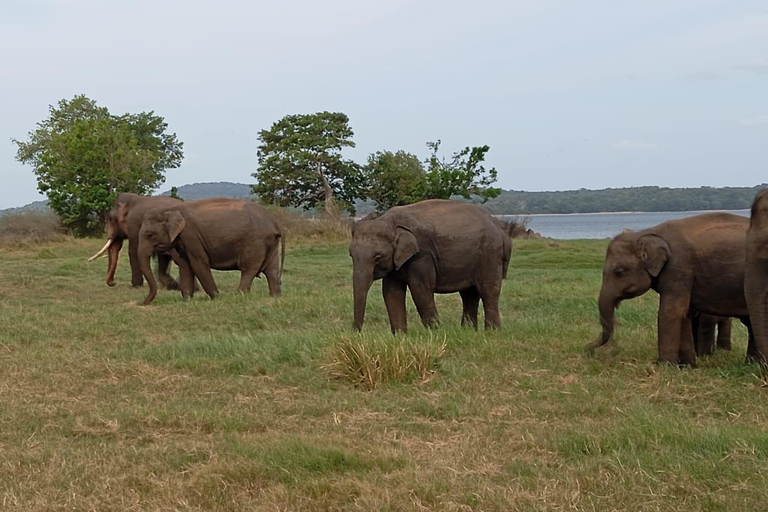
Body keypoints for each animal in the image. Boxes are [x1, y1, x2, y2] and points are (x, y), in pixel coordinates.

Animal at [136, 198, 284, 306]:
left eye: (149, 235)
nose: (143, 303)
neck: (171, 209)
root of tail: (274, 222)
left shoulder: (191, 236)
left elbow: (199, 264)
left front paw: (217, 298)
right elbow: (185, 265)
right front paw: (187, 300)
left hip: (254, 243)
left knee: (248, 268)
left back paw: (239, 296)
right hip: (270, 243)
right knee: (271, 270)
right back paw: (274, 296)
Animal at [350, 198, 510, 334]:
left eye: (377, 257)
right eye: (351, 255)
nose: (358, 334)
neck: (390, 222)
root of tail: (499, 227)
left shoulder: (421, 255)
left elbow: (420, 289)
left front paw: (436, 333)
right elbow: (391, 292)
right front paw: (400, 337)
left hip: (489, 254)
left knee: (488, 291)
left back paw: (492, 332)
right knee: (469, 294)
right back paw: (468, 332)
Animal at [584, 214, 752, 366]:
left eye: (618, 272)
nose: (588, 349)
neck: (647, 232)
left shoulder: (679, 268)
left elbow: (671, 312)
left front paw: (664, 366)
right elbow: (683, 312)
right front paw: (687, 366)